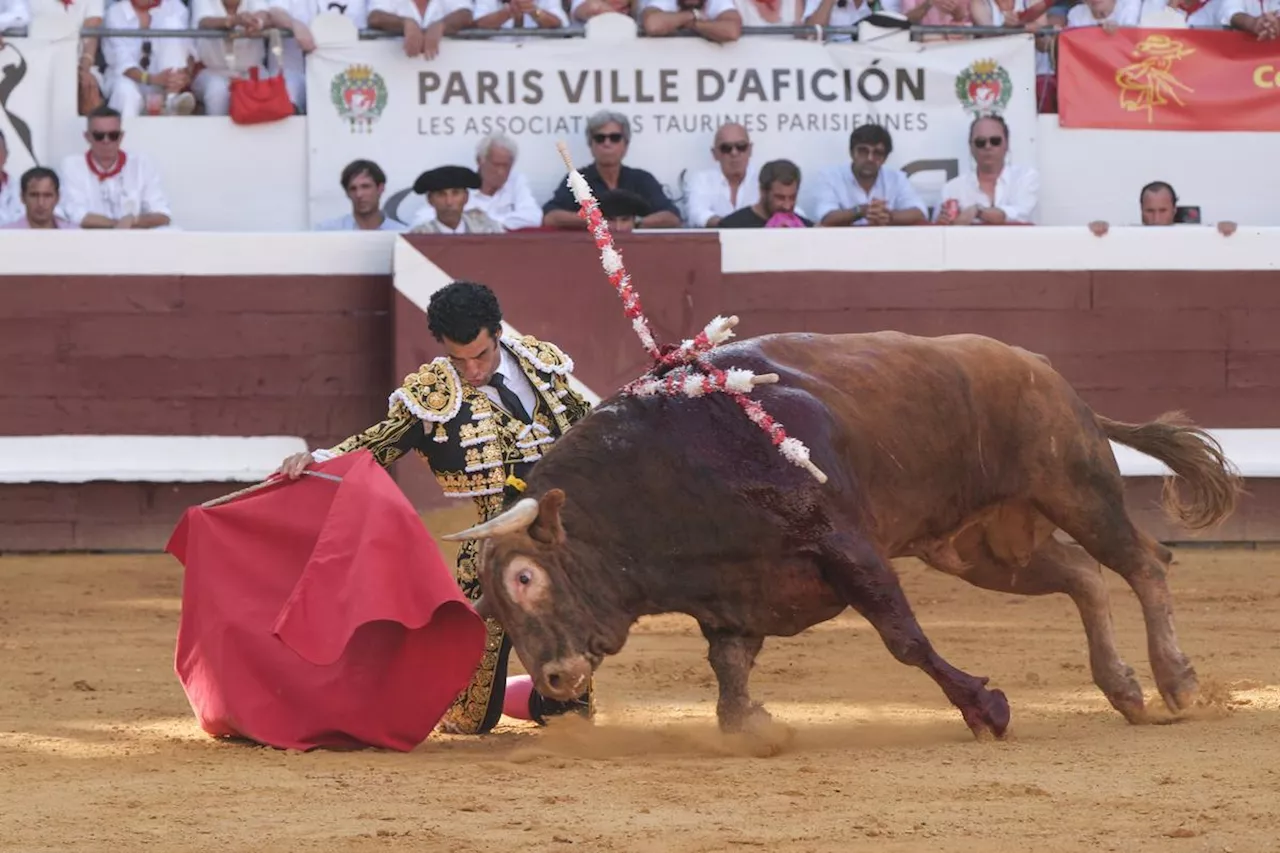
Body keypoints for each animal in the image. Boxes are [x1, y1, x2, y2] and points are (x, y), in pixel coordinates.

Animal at [440, 327, 1239, 732]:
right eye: (494, 603)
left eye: (525, 576)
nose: (554, 678)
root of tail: (1040, 363)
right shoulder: (735, 592)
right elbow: (728, 664)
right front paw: (752, 726)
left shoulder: (847, 547)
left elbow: (903, 637)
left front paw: (986, 707)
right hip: (978, 549)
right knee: (1081, 575)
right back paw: (1124, 689)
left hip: (1073, 482)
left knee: (1142, 561)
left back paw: (1176, 681)